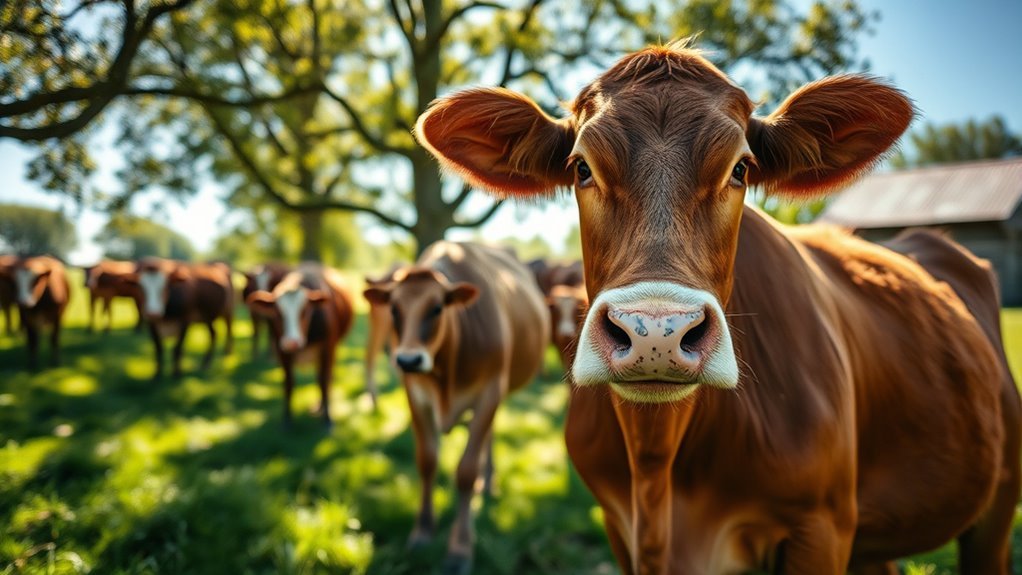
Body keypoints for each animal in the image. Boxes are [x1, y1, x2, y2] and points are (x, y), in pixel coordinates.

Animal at [245, 264, 354, 427]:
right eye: (278, 313)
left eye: (304, 311)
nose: (292, 342)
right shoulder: (282, 351)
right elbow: (289, 383)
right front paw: (287, 419)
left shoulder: (328, 348)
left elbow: (324, 380)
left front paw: (327, 419)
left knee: (325, 378)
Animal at [363, 241, 549, 574]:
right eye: (394, 309)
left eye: (437, 308)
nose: (408, 360)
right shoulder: (416, 396)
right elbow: (427, 461)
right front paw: (422, 531)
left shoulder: (490, 392)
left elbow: (465, 471)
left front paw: (460, 549)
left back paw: (487, 481)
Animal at [414, 43, 1020, 574]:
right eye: (581, 168)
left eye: (741, 169)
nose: (655, 333)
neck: (656, 468)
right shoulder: (618, 526)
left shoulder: (821, 529)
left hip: (995, 506)